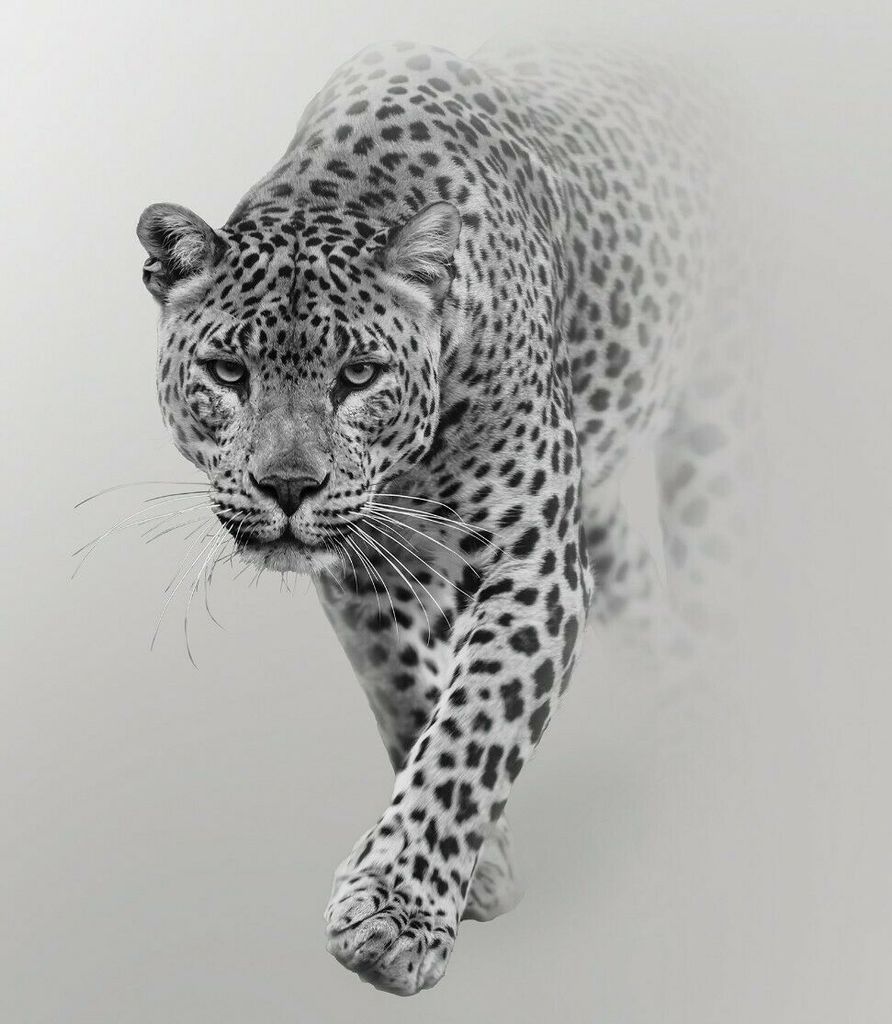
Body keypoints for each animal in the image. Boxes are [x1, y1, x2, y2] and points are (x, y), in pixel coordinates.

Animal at [137, 39, 749, 995]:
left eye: (358, 375)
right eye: (229, 373)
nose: (288, 487)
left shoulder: (535, 571)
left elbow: (474, 727)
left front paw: (396, 914)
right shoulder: (364, 576)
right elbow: (410, 700)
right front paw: (480, 869)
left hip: (715, 432)